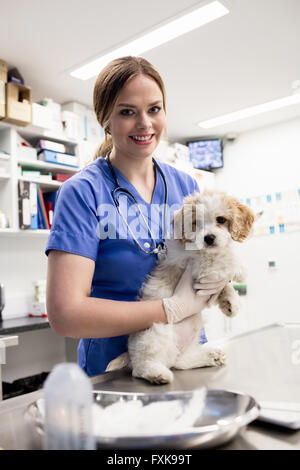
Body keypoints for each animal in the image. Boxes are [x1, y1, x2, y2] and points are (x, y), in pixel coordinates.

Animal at [106, 191, 254, 386]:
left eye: (221, 220)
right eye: (196, 222)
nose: (208, 238)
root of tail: (130, 354)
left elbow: (223, 285)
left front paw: (231, 303)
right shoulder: (198, 266)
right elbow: (224, 258)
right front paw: (240, 269)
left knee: (179, 362)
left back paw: (211, 356)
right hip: (155, 334)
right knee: (141, 368)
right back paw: (158, 374)